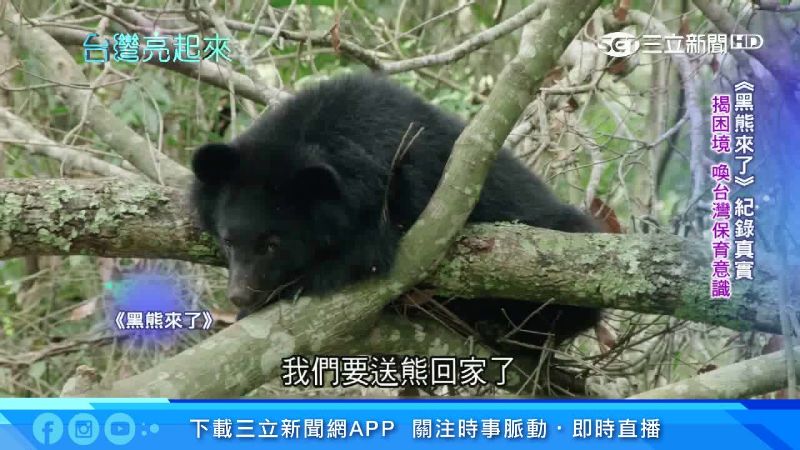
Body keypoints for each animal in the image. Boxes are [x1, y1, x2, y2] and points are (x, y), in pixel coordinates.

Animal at [189, 73, 601, 360]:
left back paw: (503, 329)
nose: (238, 295)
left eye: (272, 244)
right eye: (228, 240)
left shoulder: (405, 191)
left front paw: (296, 284)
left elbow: (366, 254)